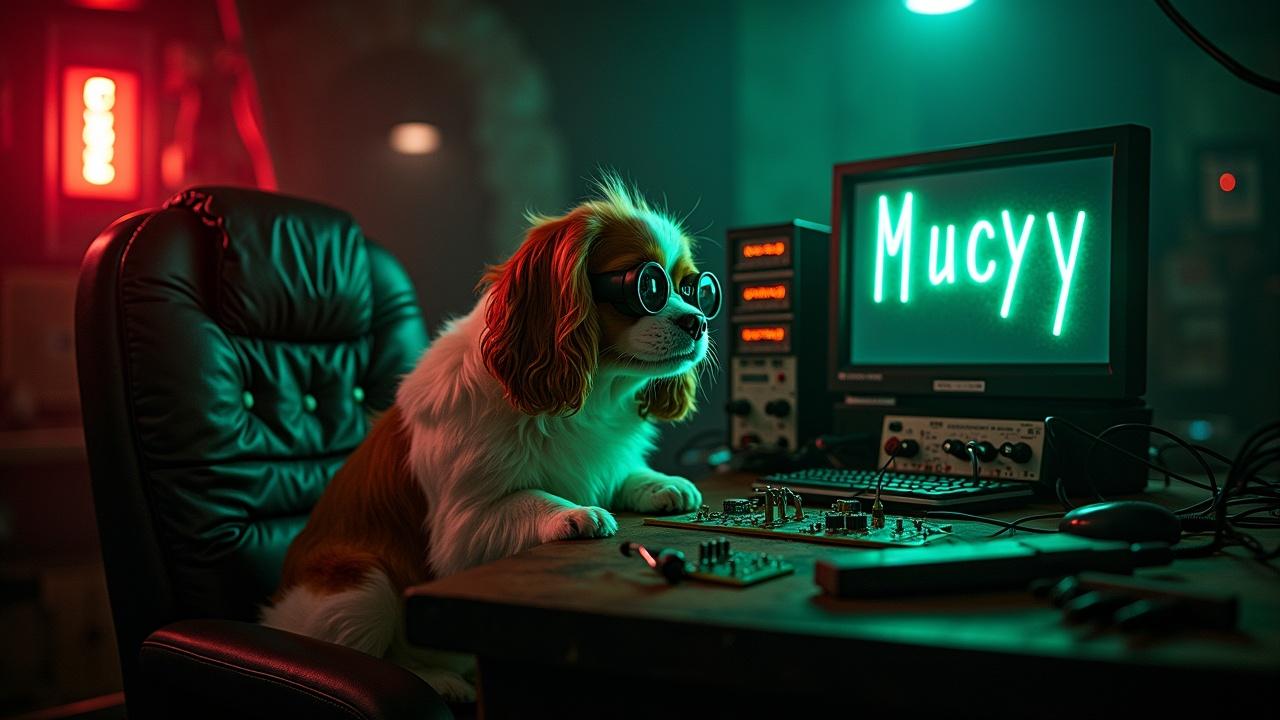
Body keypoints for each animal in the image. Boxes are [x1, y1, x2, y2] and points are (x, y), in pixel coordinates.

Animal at [263, 176, 716, 696]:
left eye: (695, 289)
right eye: (649, 286)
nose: (698, 320)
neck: (592, 396)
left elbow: (622, 474)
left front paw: (661, 484)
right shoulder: (461, 530)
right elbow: (528, 499)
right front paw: (573, 513)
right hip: (364, 584)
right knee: (375, 650)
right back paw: (440, 679)